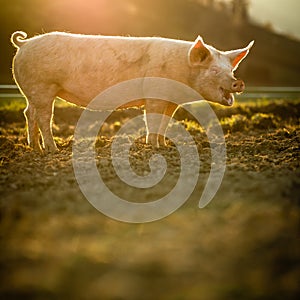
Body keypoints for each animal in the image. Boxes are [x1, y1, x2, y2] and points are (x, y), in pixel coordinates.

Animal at [11, 31, 253, 152]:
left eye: (230, 70)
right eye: (214, 70)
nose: (238, 82)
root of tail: (23, 45)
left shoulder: (171, 101)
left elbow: (164, 122)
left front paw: (164, 146)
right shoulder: (154, 95)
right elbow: (152, 120)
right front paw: (153, 147)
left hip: (32, 92)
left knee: (28, 113)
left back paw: (34, 148)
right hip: (43, 87)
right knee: (44, 117)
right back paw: (53, 150)